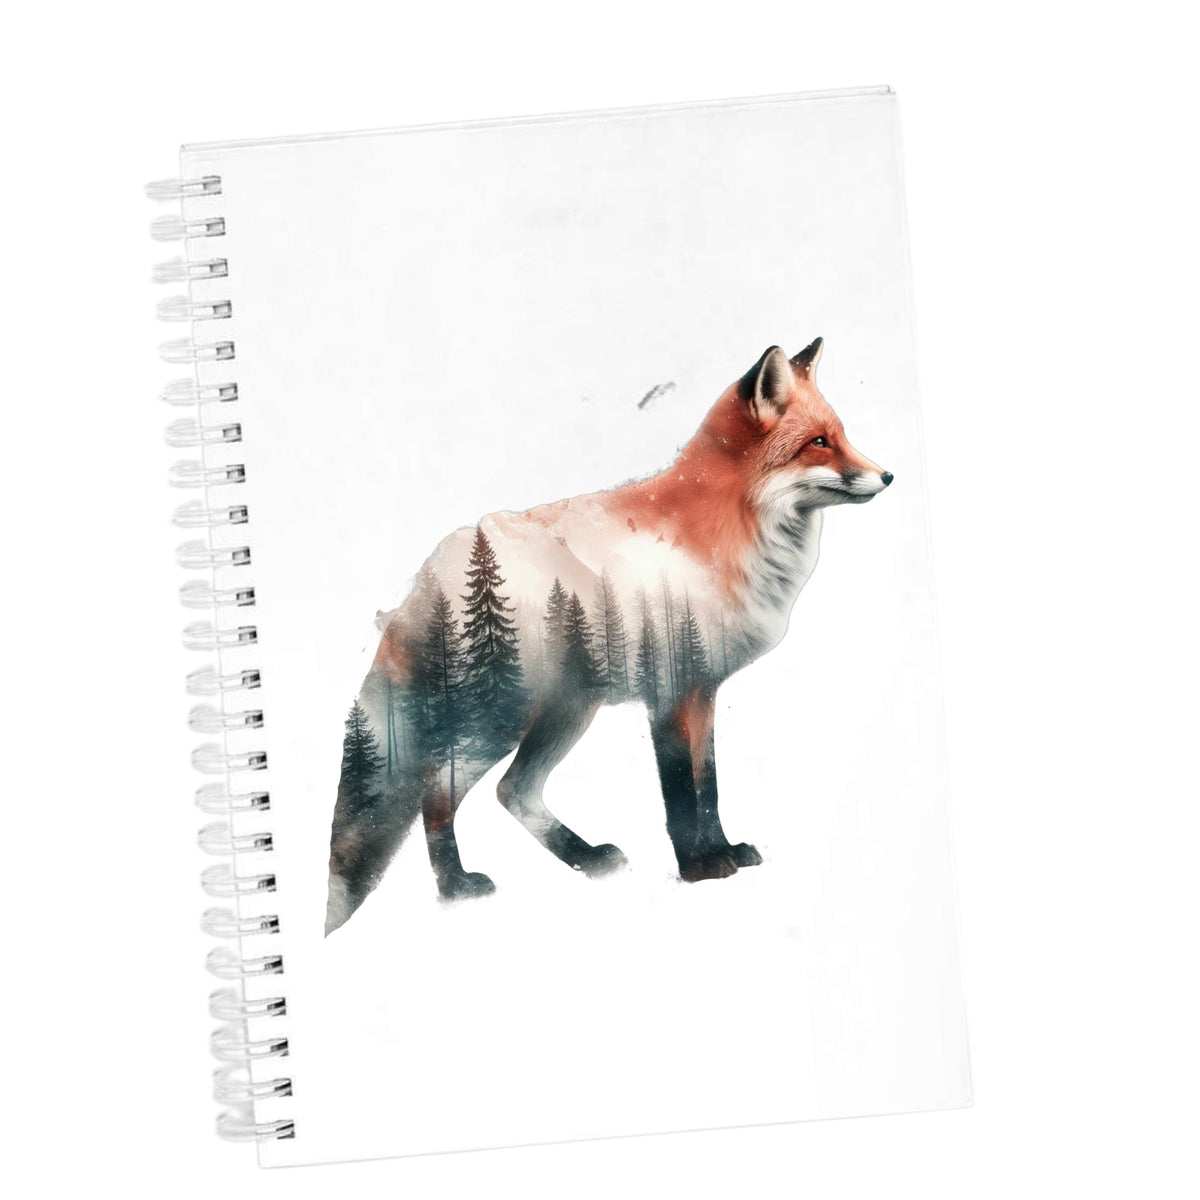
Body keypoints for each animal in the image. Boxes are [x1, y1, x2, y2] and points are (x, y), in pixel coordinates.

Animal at [325, 337, 892, 933]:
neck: (725, 536)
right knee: (437, 793)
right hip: (497, 718)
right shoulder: (669, 690)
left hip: (565, 712)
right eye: (818, 443)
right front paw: (699, 868)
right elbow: (680, 792)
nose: (888, 476)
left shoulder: (703, 691)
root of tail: (434, 568)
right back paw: (456, 887)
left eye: (842, 436)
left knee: (513, 791)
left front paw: (725, 852)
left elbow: (709, 786)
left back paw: (585, 858)